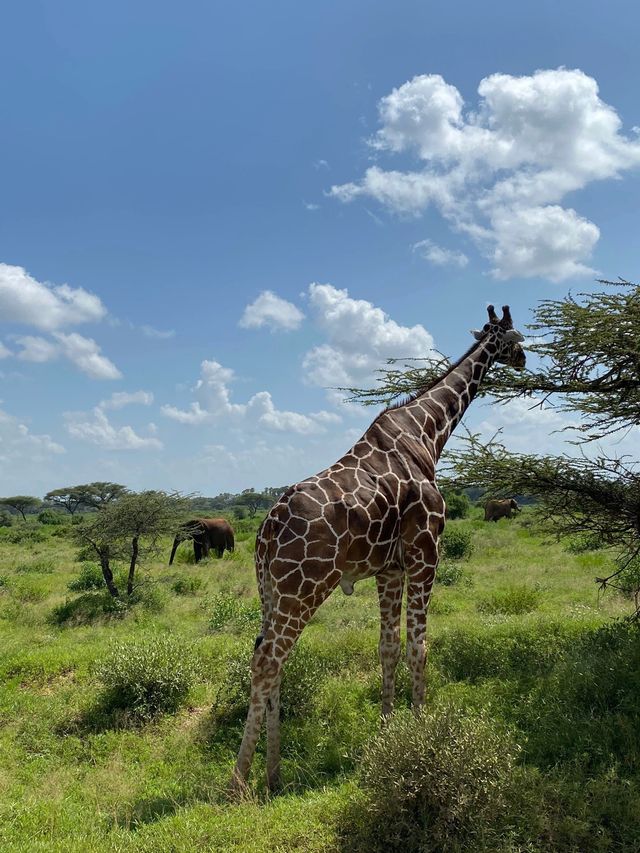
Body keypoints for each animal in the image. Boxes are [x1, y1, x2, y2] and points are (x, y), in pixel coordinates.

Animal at [230, 302, 524, 792]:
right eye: (516, 336)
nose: (523, 360)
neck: (427, 433)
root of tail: (264, 532)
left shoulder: (390, 568)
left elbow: (387, 647)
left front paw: (387, 731)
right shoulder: (426, 553)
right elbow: (419, 647)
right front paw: (422, 733)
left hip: (269, 590)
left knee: (271, 659)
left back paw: (274, 774)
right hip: (303, 587)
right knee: (267, 661)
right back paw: (240, 780)